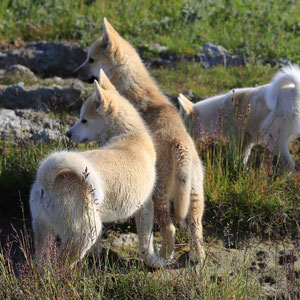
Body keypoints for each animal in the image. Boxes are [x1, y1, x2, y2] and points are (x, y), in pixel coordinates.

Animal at [29, 70, 162, 268]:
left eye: (84, 120)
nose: (68, 133)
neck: (128, 135)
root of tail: (47, 179)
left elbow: (99, 245)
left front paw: (97, 257)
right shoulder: (145, 206)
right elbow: (146, 241)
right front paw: (154, 262)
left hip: (43, 231)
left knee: (41, 265)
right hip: (83, 233)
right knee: (60, 267)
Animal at [73, 18, 205, 262]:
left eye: (91, 59)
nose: (74, 72)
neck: (131, 88)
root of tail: (181, 146)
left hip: (160, 193)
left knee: (169, 228)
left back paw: (164, 256)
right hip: (195, 195)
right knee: (196, 227)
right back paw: (197, 258)